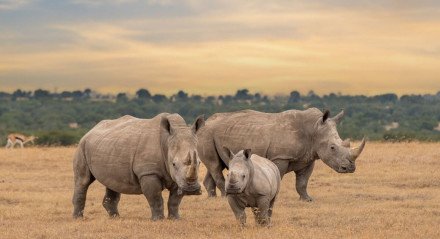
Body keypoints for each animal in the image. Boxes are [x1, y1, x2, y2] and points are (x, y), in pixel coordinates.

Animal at [73, 113, 205, 220]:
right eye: (173, 164)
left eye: (199, 163)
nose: (192, 190)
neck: (167, 141)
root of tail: (91, 130)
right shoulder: (148, 172)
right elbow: (155, 197)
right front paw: (158, 220)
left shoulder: (178, 177)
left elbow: (175, 200)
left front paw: (175, 219)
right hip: (82, 145)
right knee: (83, 180)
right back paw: (78, 218)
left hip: (107, 146)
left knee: (111, 182)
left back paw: (115, 218)